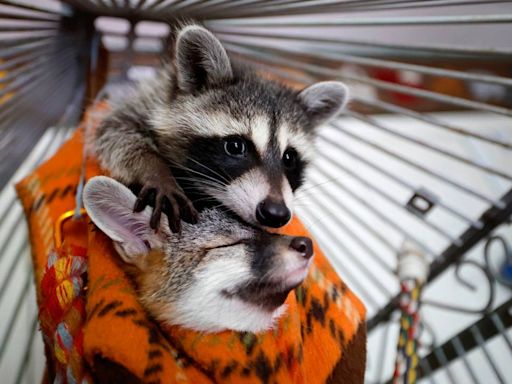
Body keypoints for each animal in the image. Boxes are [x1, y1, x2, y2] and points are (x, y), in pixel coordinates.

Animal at [91, 26, 348, 234]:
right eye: (235, 146)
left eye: (289, 157)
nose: (275, 213)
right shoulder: (146, 102)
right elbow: (114, 131)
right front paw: (155, 169)